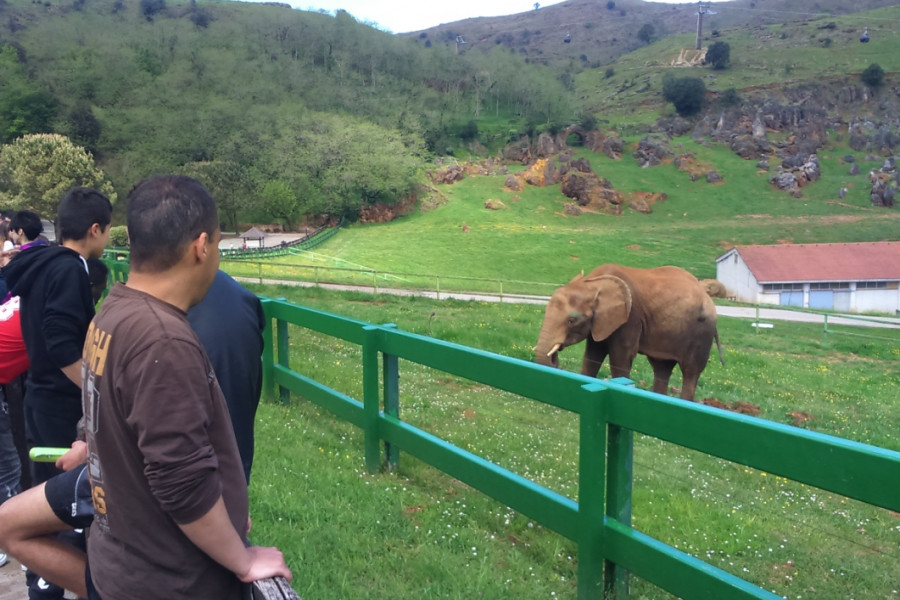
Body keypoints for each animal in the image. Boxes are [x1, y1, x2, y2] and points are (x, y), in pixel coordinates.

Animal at [536, 264, 724, 400]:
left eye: (572, 320)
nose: (555, 357)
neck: (593, 282)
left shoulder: (630, 317)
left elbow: (621, 356)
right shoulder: (600, 322)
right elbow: (593, 354)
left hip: (702, 333)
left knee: (690, 372)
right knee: (662, 367)